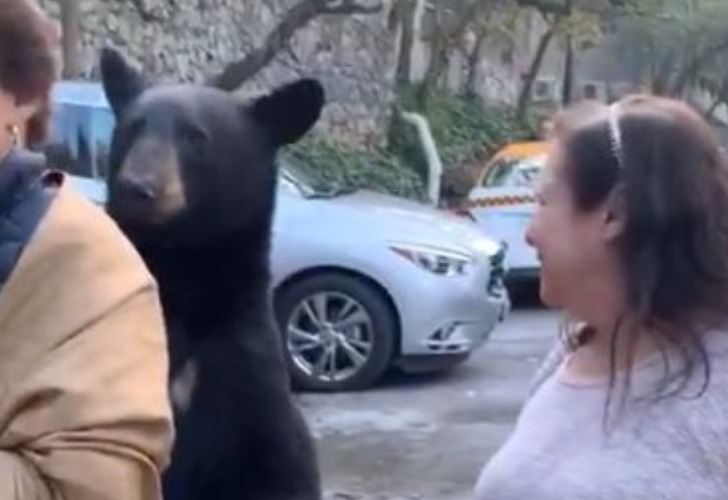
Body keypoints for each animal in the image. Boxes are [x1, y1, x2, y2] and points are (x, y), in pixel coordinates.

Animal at [98, 47, 326, 500]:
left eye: (196, 137)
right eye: (132, 127)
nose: (137, 187)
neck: (182, 275)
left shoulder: (248, 383)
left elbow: (275, 467)